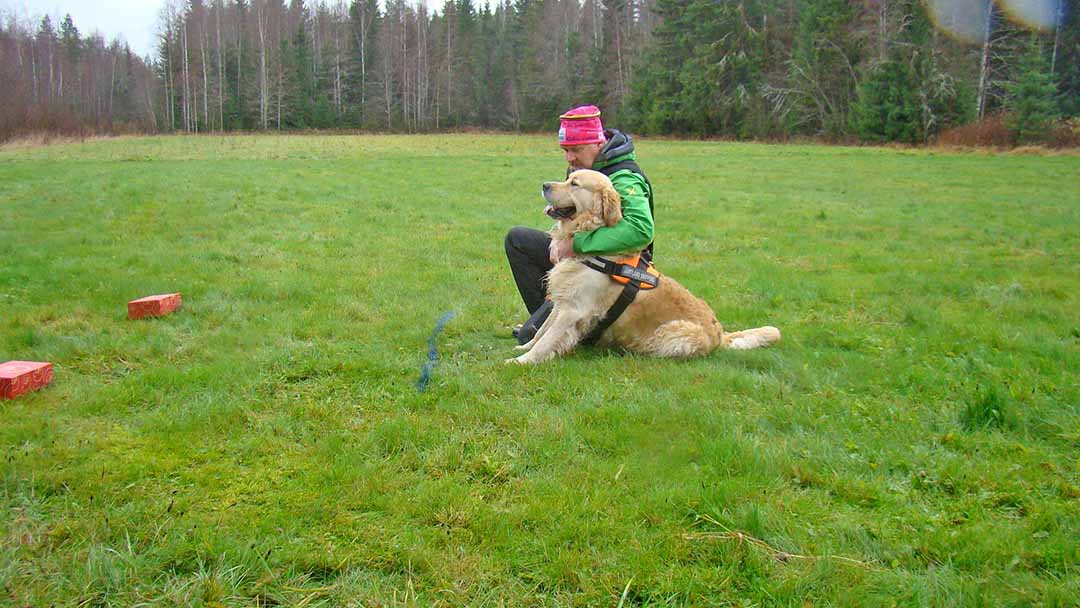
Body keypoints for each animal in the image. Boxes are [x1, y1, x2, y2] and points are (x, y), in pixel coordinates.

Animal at [509, 168, 781, 365]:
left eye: (574, 184)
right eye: (567, 178)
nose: (545, 185)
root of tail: (720, 335)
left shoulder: (575, 309)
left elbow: (548, 339)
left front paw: (522, 361)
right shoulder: (563, 301)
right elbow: (542, 331)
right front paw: (524, 347)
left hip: (672, 333)